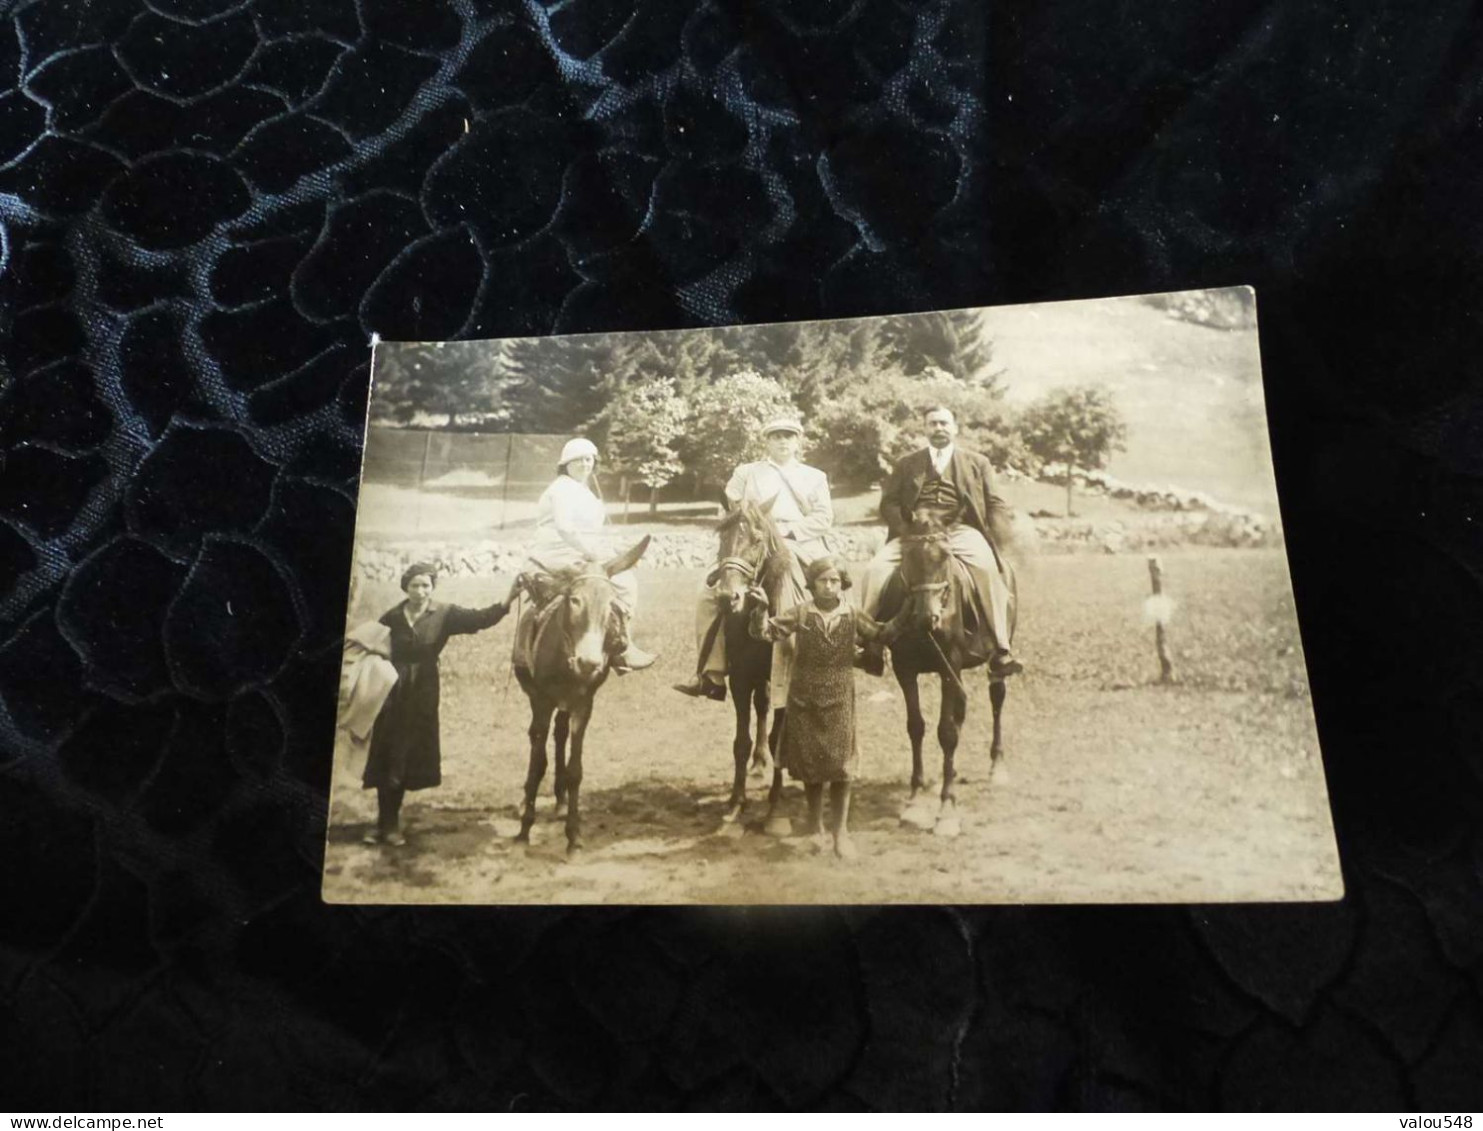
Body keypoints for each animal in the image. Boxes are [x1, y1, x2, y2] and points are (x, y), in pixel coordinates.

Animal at [513, 536, 646, 853]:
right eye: (574, 600)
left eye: (612, 606)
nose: (588, 662)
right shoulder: (543, 701)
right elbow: (536, 764)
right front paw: (524, 830)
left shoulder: (584, 704)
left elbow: (575, 770)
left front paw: (573, 835)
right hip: (536, 697)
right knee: (535, 737)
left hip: (566, 705)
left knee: (559, 734)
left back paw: (561, 801)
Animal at [708, 501, 794, 830]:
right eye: (722, 538)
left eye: (757, 540)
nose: (726, 597)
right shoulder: (741, 679)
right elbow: (741, 742)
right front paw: (736, 802)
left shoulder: (784, 681)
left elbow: (778, 740)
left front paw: (774, 807)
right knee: (761, 707)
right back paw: (758, 764)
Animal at [883, 509, 1014, 836]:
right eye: (908, 556)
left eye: (944, 557)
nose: (925, 617)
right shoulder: (905, 669)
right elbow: (916, 727)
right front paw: (915, 801)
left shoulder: (948, 666)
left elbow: (946, 733)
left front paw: (947, 809)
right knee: (960, 711)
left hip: (994, 659)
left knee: (996, 699)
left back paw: (996, 767)